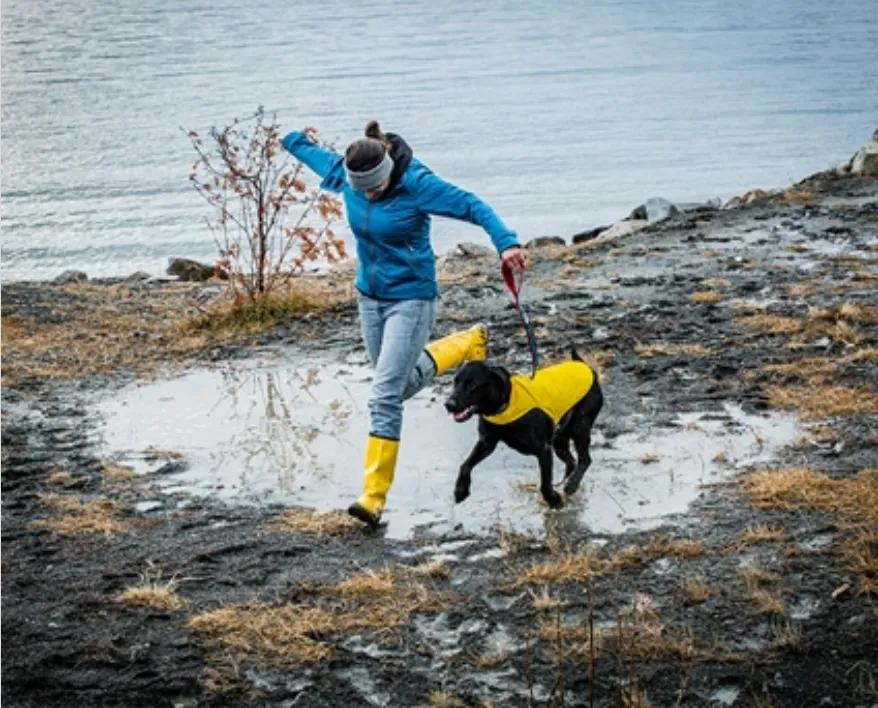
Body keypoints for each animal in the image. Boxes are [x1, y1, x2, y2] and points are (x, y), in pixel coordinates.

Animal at [446, 350, 604, 508]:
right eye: (455, 382)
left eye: (473, 384)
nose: (448, 404)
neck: (506, 406)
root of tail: (584, 365)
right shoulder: (487, 443)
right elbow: (465, 465)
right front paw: (460, 490)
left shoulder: (543, 450)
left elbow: (545, 483)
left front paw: (552, 500)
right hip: (559, 439)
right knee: (571, 461)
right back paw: (566, 481)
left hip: (580, 426)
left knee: (585, 459)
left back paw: (572, 485)